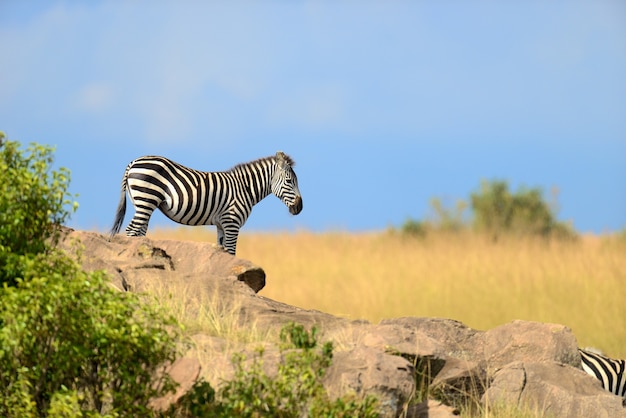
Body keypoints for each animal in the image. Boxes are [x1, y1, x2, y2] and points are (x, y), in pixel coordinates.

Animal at [109, 151, 302, 255]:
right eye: (289, 181)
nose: (299, 208)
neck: (244, 188)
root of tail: (134, 162)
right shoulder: (232, 222)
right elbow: (231, 252)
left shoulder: (221, 225)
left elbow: (223, 251)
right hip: (146, 199)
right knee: (131, 230)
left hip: (143, 203)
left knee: (138, 232)